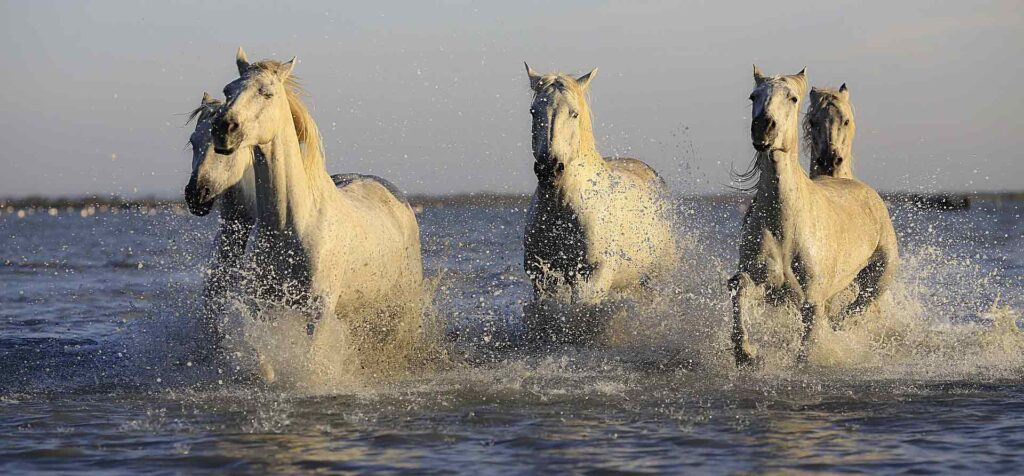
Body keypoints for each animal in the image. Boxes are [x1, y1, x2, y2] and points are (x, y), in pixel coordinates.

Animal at [192, 48, 424, 379]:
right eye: (228, 90)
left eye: (267, 92)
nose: (224, 129)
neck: (291, 225)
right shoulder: (266, 305)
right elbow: (264, 357)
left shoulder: (319, 311)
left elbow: (312, 361)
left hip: (402, 305)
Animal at [522, 63, 676, 343]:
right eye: (533, 111)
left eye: (573, 114)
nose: (549, 169)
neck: (562, 208)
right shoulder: (542, 277)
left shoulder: (592, 276)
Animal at [729, 66, 898, 366]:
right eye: (753, 96)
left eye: (792, 98)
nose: (763, 128)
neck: (785, 223)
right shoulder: (766, 282)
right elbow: (739, 286)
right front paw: (746, 353)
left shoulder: (811, 298)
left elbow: (809, 341)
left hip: (877, 279)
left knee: (855, 310)